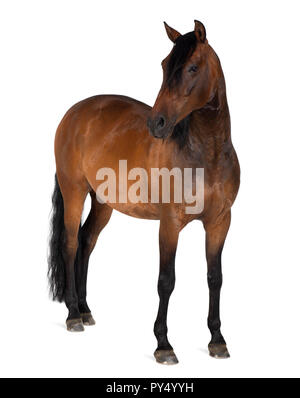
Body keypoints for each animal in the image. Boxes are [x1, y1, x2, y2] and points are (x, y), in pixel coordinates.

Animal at [48, 21, 240, 364]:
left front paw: (217, 341)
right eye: (164, 65)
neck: (208, 154)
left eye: (192, 67)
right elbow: (166, 281)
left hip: (103, 203)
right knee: (69, 244)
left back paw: (85, 310)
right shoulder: (170, 225)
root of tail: (75, 113)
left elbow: (214, 278)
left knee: (86, 241)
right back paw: (72, 315)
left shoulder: (220, 222)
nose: (157, 123)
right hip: (74, 192)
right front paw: (163, 345)